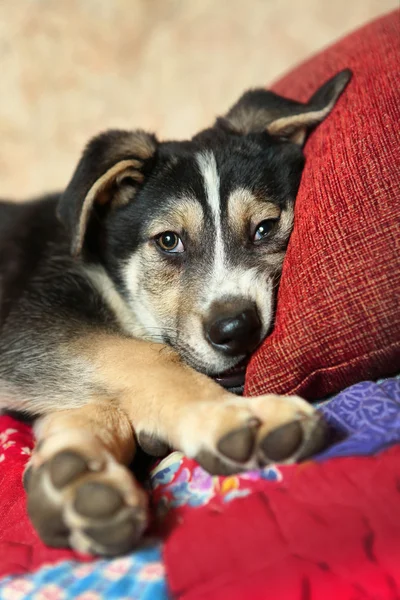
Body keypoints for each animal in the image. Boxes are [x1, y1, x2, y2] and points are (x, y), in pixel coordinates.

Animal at [0, 71, 350, 556]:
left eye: (264, 228)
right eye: (168, 241)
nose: (236, 329)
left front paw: (76, 479)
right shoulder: (30, 328)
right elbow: (146, 358)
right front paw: (234, 418)